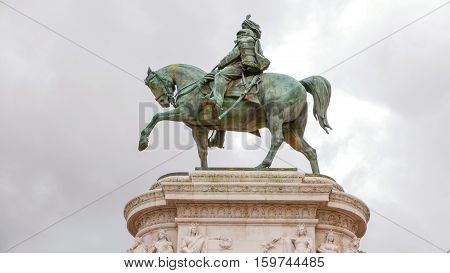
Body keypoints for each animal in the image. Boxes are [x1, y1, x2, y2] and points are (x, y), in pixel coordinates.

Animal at [139, 63, 332, 172]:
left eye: (152, 84)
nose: (164, 101)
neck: (194, 85)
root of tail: (300, 83)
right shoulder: (198, 128)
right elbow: (202, 151)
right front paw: (204, 170)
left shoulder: (184, 113)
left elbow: (156, 117)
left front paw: (143, 141)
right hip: (292, 129)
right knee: (309, 151)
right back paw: (317, 177)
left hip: (275, 117)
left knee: (277, 139)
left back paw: (262, 166)